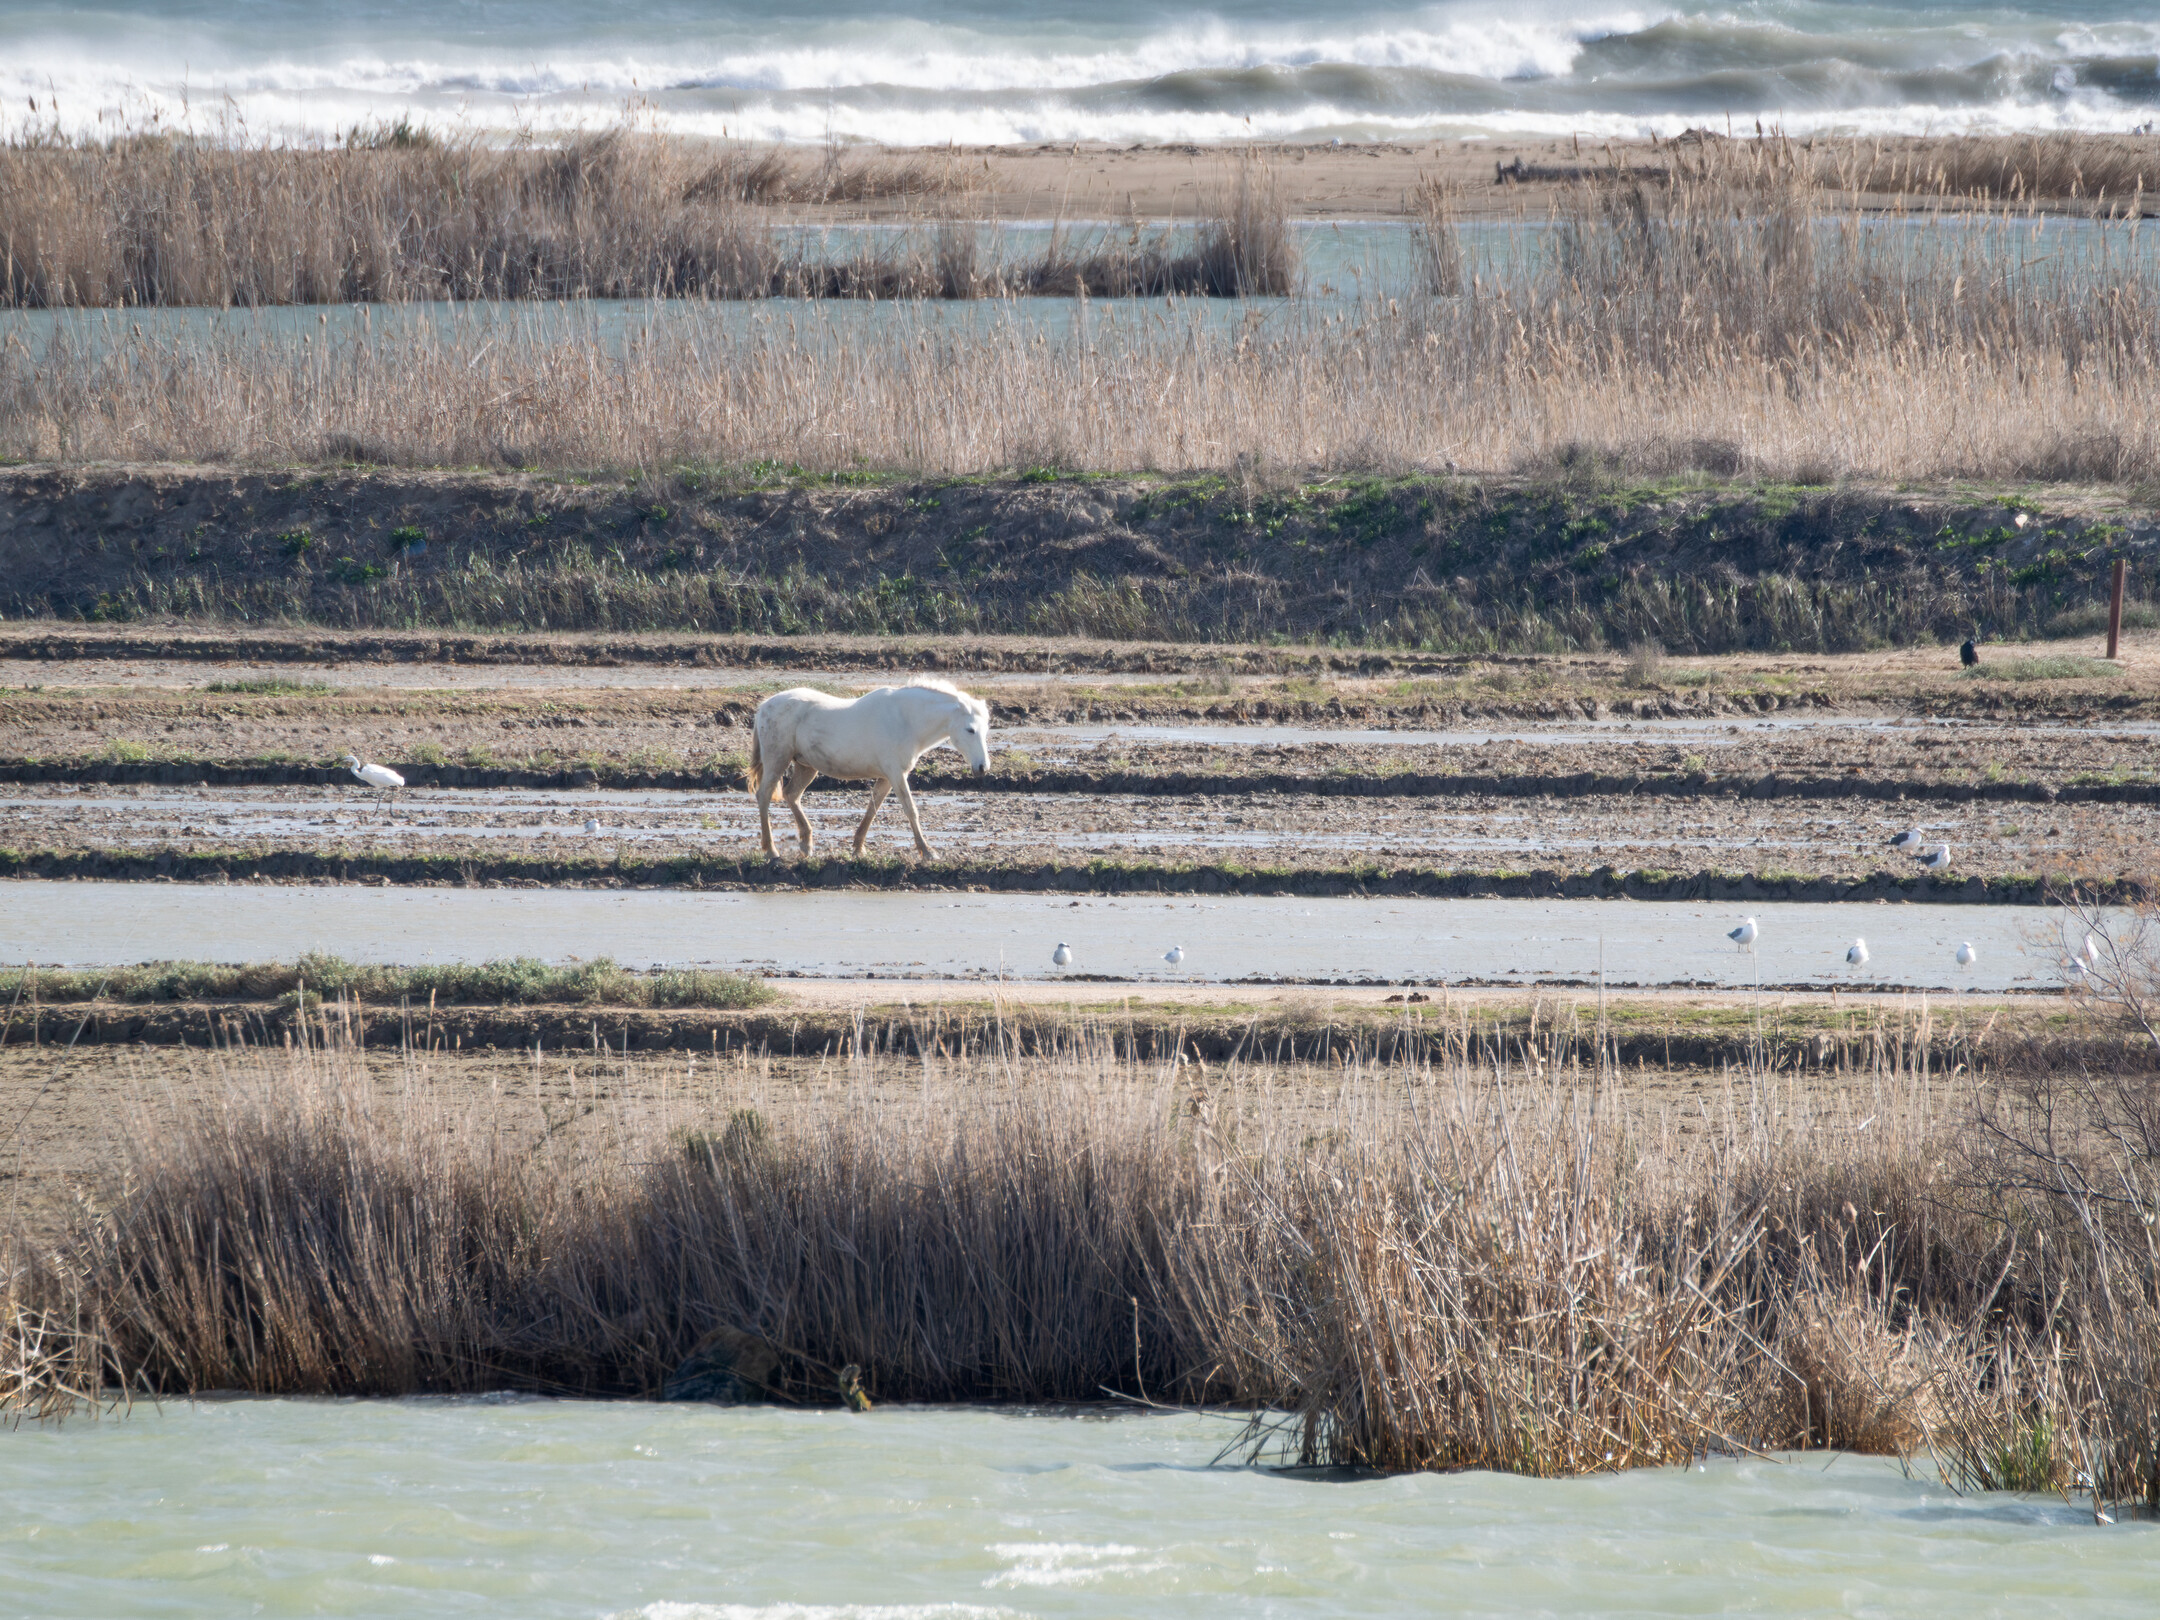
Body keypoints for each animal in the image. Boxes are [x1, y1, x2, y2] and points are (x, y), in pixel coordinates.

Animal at [748, 678, 991, 860]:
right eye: (970, 729)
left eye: (985, 729)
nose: (982, 767)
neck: (906, 720)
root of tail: (764, 707)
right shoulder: (896, 773)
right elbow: (910, 810)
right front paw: (927, 851)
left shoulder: (887, 777)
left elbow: (872, 810)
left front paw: (858, 848)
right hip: (777, 759)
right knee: (764, 796)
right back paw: (771, 850)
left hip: (806, 766)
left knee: (792, 795)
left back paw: (806, 845)